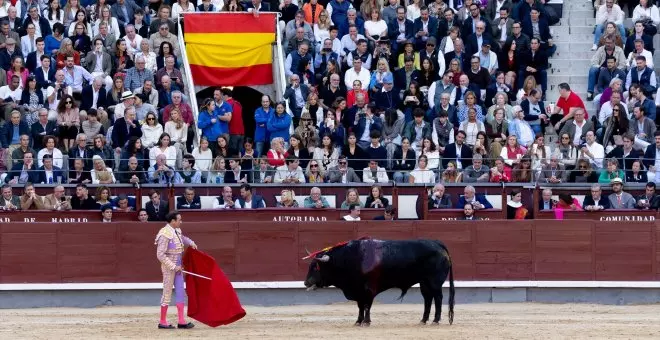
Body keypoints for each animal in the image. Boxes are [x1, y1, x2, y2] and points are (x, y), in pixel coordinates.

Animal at [302, 238, 454, 326]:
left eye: (315, 267)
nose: (306, 283)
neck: (352, 258)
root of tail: (438, 244)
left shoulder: (369, 289)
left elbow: (367, 306)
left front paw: (366, 322)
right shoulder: (358, 290)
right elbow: (360, 306)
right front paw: (358, 321)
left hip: (434, 282)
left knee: (438, 298)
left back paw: (435, 320)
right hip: (424, 282)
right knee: (428, 299)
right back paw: (423, 320)